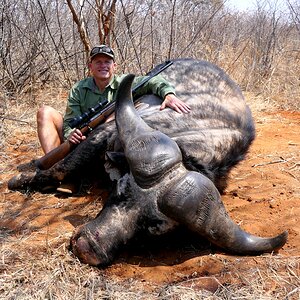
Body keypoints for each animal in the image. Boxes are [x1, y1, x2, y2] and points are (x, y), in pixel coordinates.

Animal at [8, 58, 288, 264]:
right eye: (120, 190)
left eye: (151, 227)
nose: (87, 247)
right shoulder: (102, 134)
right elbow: (60, 169)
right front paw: (21, 179)